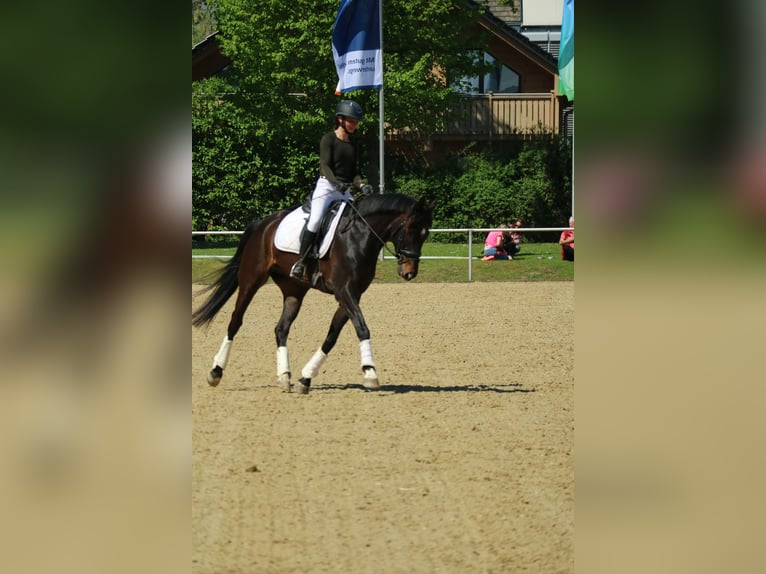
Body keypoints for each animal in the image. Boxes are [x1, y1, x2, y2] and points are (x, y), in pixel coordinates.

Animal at [192, 193, 436, 394]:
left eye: (426, 234)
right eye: (410, 229)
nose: (409, 272)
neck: (358, 236)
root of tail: (263, 224)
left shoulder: (352, 295)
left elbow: (332, 336)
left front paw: (305, 378)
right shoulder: (344, 292)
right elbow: (362, 328)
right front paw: (370, 372)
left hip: (294, 291)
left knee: (281, 328)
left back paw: (284, 376)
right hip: (251, 281)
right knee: (235, 321)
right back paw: (216, 372)